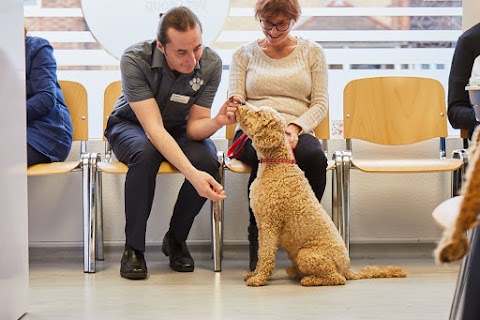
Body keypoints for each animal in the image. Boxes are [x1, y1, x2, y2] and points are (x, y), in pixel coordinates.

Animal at [234, 103, 406, 288]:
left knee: (337, 278)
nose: (241, 103)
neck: (278, 165)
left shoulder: (270, 224)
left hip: (307, 255)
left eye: (259, 113)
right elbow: (261, 253)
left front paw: (258, 279)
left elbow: (266, 254)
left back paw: (309, 279)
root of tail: (347, 268)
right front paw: (254, 273)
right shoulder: (262, 225)